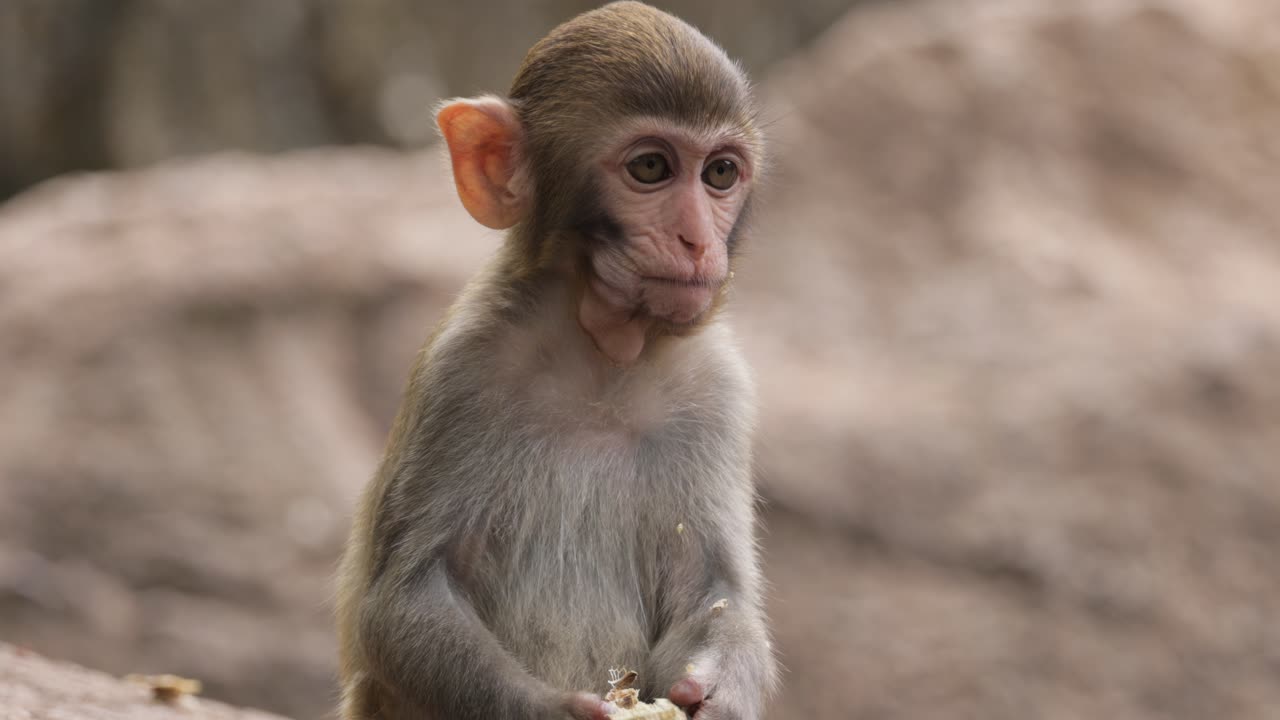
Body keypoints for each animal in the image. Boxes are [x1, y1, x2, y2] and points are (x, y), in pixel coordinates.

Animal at [336, 3, 777, 719]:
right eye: (650, 168)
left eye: (719, 174)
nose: (696, 240)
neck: (600, 357)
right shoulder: (462, 370)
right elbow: (402, 605)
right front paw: (557, 710)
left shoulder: (717, 387)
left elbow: (711, 591)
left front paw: (719, 694)